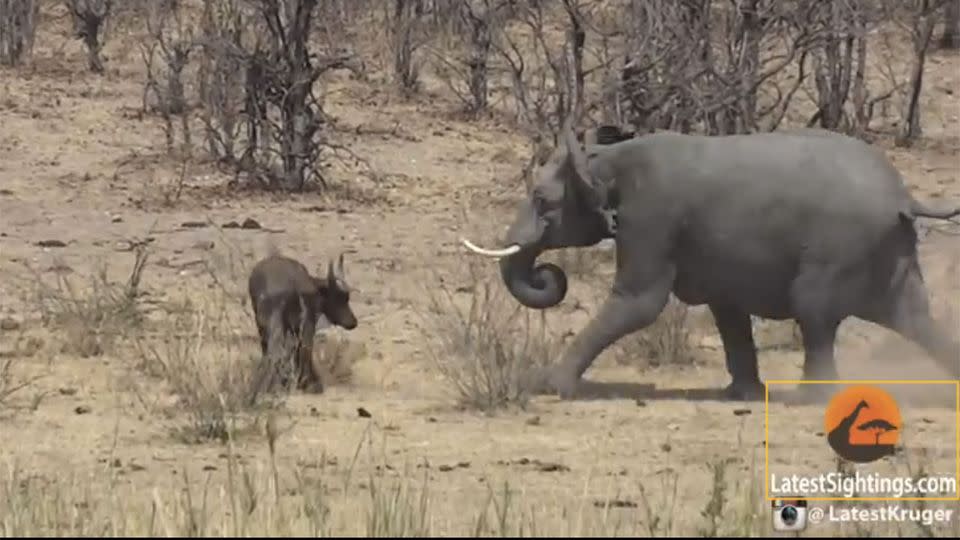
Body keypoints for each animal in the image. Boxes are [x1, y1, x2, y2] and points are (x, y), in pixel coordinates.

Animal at [464, 122, 960, 400]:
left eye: (540, 199)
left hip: (840, 248)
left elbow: (637, 304)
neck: (608, 157)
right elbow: (728, 312)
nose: (546, 274)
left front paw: (549, 387)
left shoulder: (653, 218)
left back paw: (811, 399)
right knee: (916, 320)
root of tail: (905, 197)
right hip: (887, 252)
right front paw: (741, 395)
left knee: (814, 312)